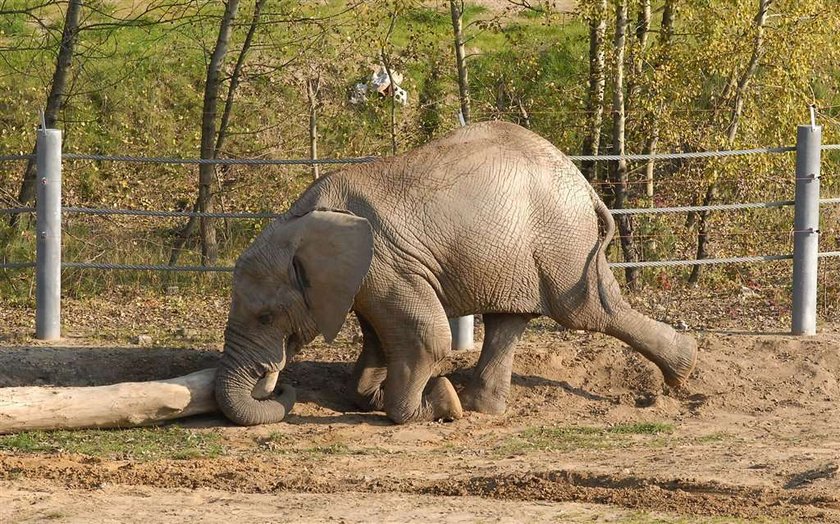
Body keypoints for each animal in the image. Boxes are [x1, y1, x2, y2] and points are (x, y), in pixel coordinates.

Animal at [215, 122, 696, 426]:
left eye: (266, 316)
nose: (275, 385)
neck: (301, 221)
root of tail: (583, 184)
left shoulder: (388, 264)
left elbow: (426, 338)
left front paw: (437, 402)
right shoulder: (370, 277)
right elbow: (378, 339)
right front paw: (382, 395)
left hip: (562, 242)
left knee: (587, 311)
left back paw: (684, 370)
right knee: (509, 320)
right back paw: (481, 407)